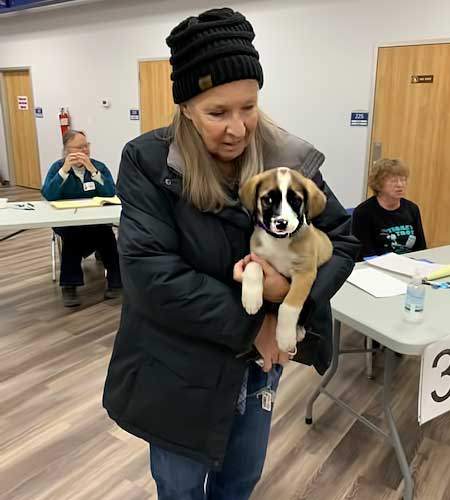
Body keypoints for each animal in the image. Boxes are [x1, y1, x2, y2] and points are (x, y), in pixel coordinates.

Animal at [241, 168, 332, 352]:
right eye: (268, 199)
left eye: (295, 200)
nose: (281, 223)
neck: (279, 241)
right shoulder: (256, 256)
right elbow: (253, 266)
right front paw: (251, 298)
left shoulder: (305, 273)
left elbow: (289, 306)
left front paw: (285, 337)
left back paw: (297, 331)